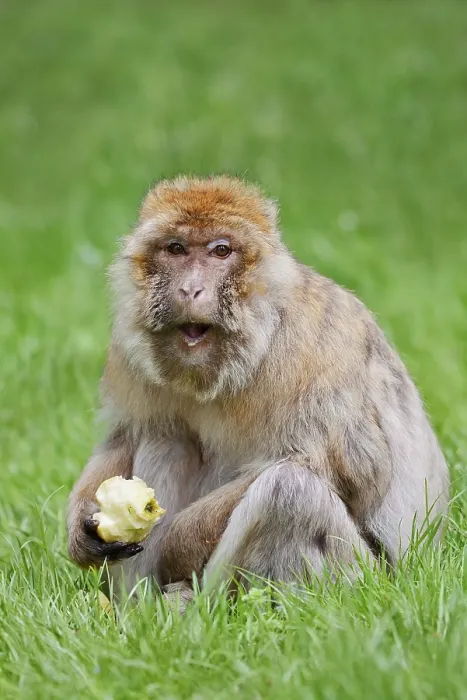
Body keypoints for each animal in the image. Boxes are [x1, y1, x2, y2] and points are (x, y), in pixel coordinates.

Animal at [67, 175, 449, 607]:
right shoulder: (128, 351)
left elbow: (344, 470)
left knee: (291, 492)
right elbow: (124, 437)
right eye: (176, 249)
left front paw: (179, 542)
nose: (191, 289)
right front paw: (83, 529)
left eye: (221, 251)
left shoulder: (311, 350)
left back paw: (199, 606)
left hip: (359, 578)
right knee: (165, 436)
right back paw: (140, 609)